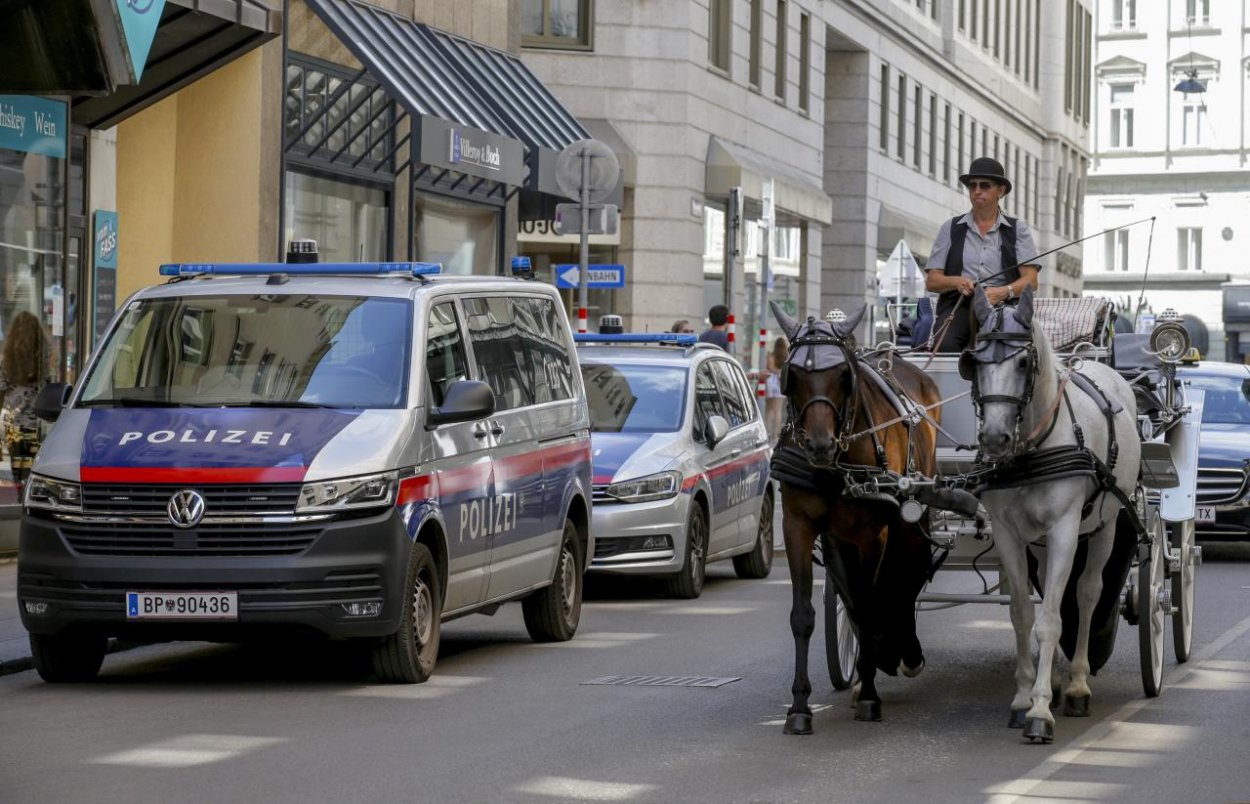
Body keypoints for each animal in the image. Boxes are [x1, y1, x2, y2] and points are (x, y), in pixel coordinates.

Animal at [770, 303, 955, 735]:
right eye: (792, 374)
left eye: (843, 374)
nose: (819, 445)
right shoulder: (798, 526)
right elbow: (805, 615)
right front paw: (799, 706)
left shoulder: (872, 533)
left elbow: (871, 605)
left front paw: (870, 695)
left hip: (907, 516)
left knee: (908, 572)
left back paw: (903, 652)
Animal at [955, 286, 1145, 745]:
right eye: (975, 362)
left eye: (1024, 362)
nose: (994, 438)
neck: (1033, 447)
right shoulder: (1009, 534)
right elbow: (1024, 614)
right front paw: (1024, 696)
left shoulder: (1064, 529)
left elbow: (1053, 620)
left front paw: (1040, 709)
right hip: (1039, 542)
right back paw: (1058, 679)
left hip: (1103, 526)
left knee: (1088, 593)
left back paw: (1075, 684)